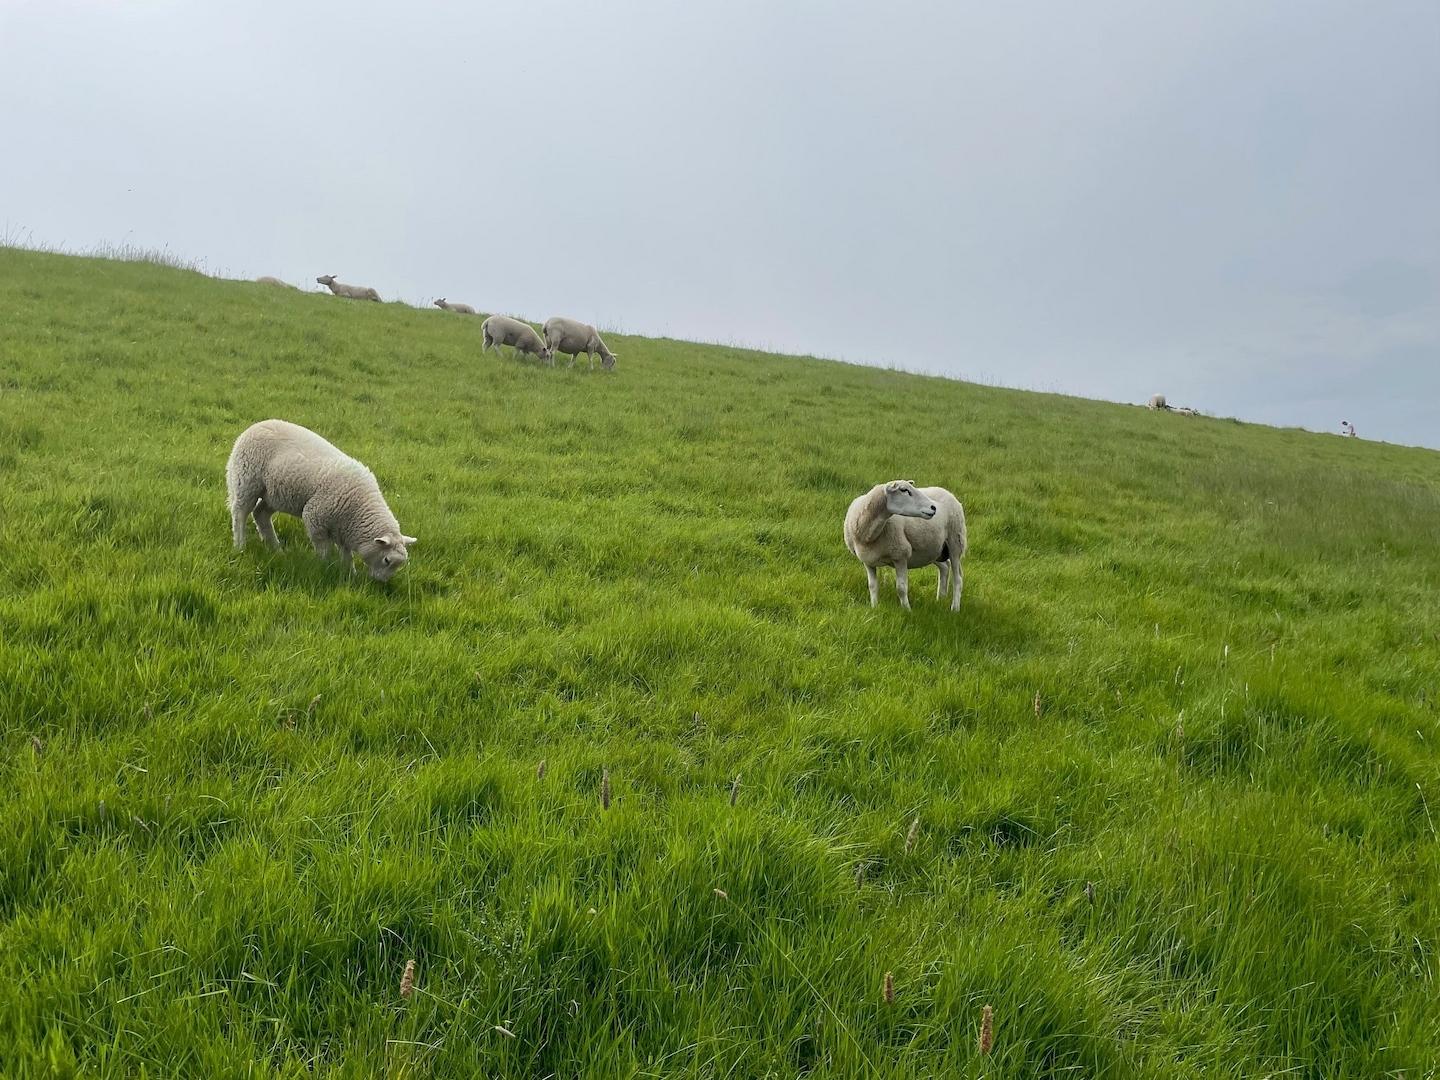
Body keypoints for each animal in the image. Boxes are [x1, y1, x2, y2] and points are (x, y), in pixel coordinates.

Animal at [226, 419, 416, 581]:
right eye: (387, 560)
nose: (382, 583)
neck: (359, 507)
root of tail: (254, 426)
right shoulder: (315, 517)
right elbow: (324, 548)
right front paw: (325, 566)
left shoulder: (342, 528)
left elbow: (346, 552)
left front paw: (350, 573)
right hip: (247, 480)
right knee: (240, 513)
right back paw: (240, 545)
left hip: (274, 494)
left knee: (260, 514)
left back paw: (276, 550)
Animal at [843, 481, 967, 611]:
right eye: (904, 490)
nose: (933, 507)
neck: (868, 535)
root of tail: (948, 492)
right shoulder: (868, 561)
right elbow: (872, 586)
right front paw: (874, 607)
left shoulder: (901, 555)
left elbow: (901, 588)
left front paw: (907, 610)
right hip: (934, 550)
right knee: (945, 567)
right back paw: (941, 599)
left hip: (955, 541)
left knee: (958, 578)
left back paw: (955, 608)